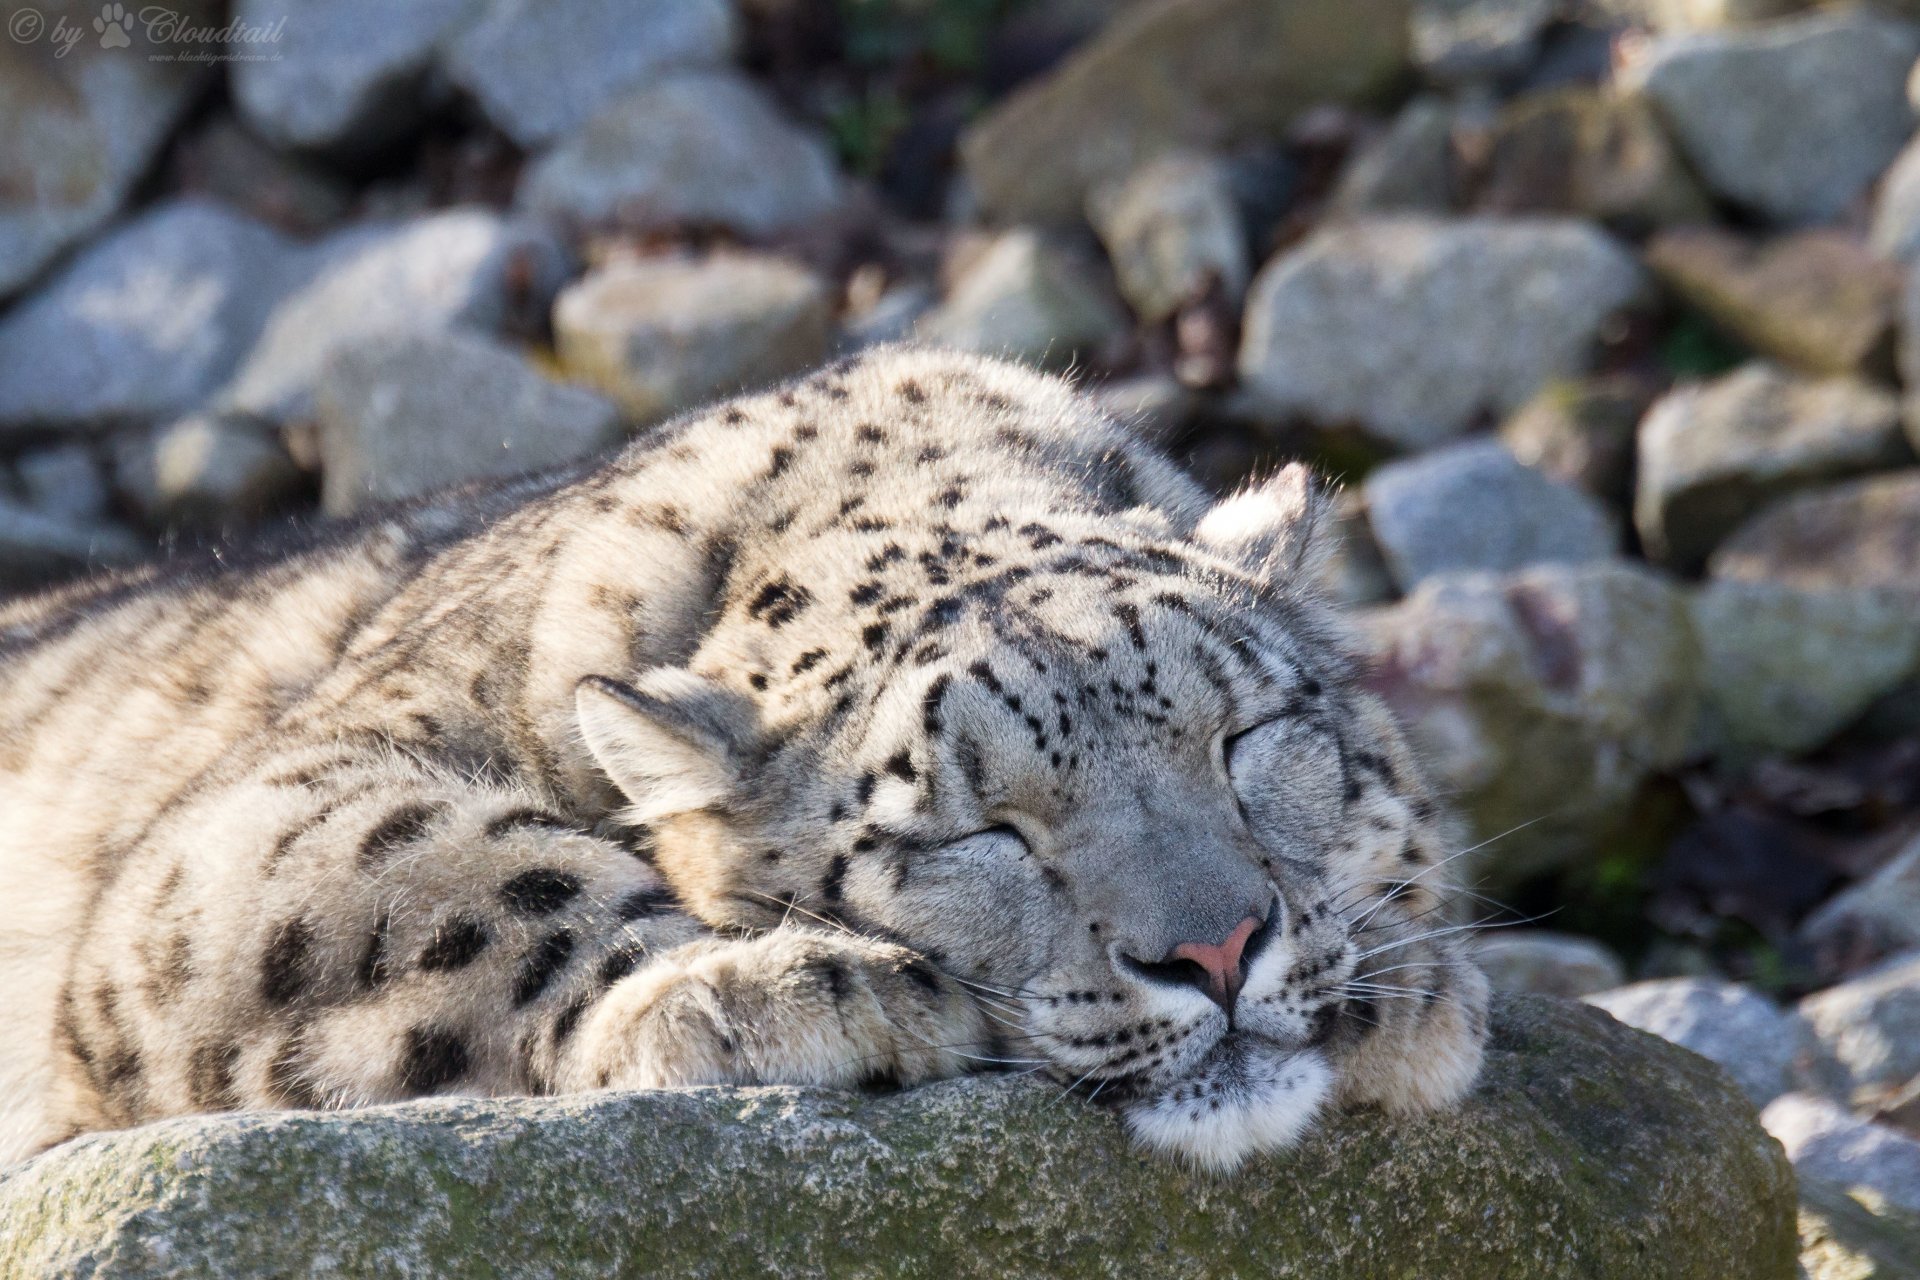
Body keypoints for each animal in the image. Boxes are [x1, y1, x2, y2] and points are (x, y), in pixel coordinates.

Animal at [0, 347, 1482, 1174]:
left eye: (1242, 737)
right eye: (977, 834)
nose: (1219, 951)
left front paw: (1408, 988)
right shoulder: (225, 843)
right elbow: (460, 870)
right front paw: (795, 987)